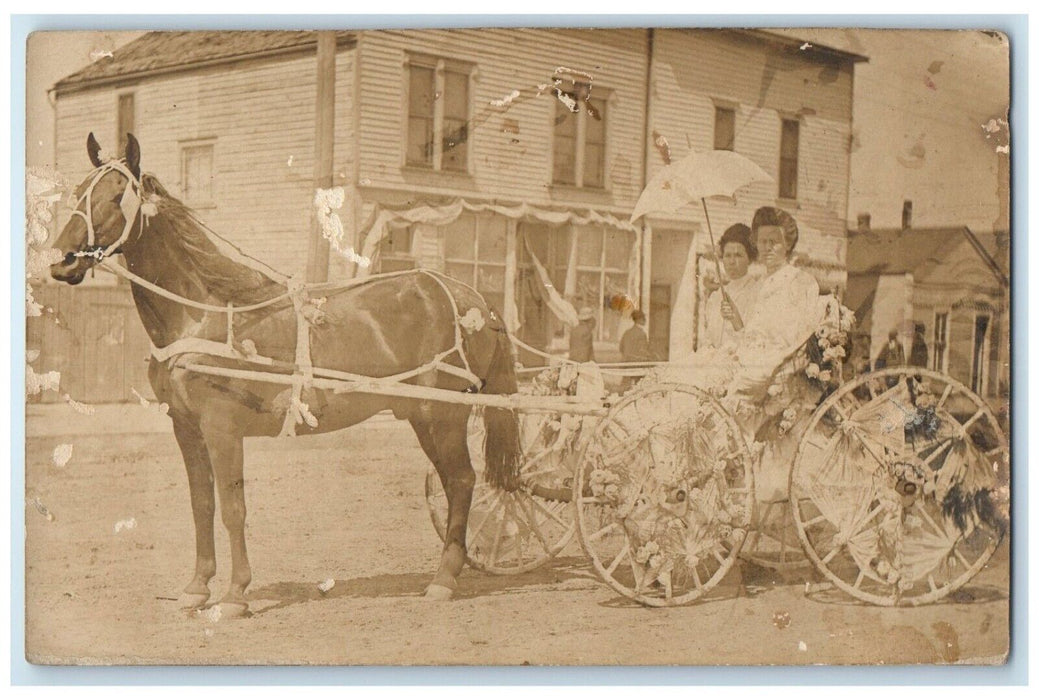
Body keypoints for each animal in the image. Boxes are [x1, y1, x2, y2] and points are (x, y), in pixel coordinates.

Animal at [49, 132, 523, 614]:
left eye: (114, 197)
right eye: (78, 192)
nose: (61, 260)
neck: (204, 314)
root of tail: (473, 299)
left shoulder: (221, 428)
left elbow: (232, 507)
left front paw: (235, 595)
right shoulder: (186, 427)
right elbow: (202, 506)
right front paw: (197, 587)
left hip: (444, 416)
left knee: (462, 481)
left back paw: (443, 579)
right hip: (421, 417)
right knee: (452, 482)